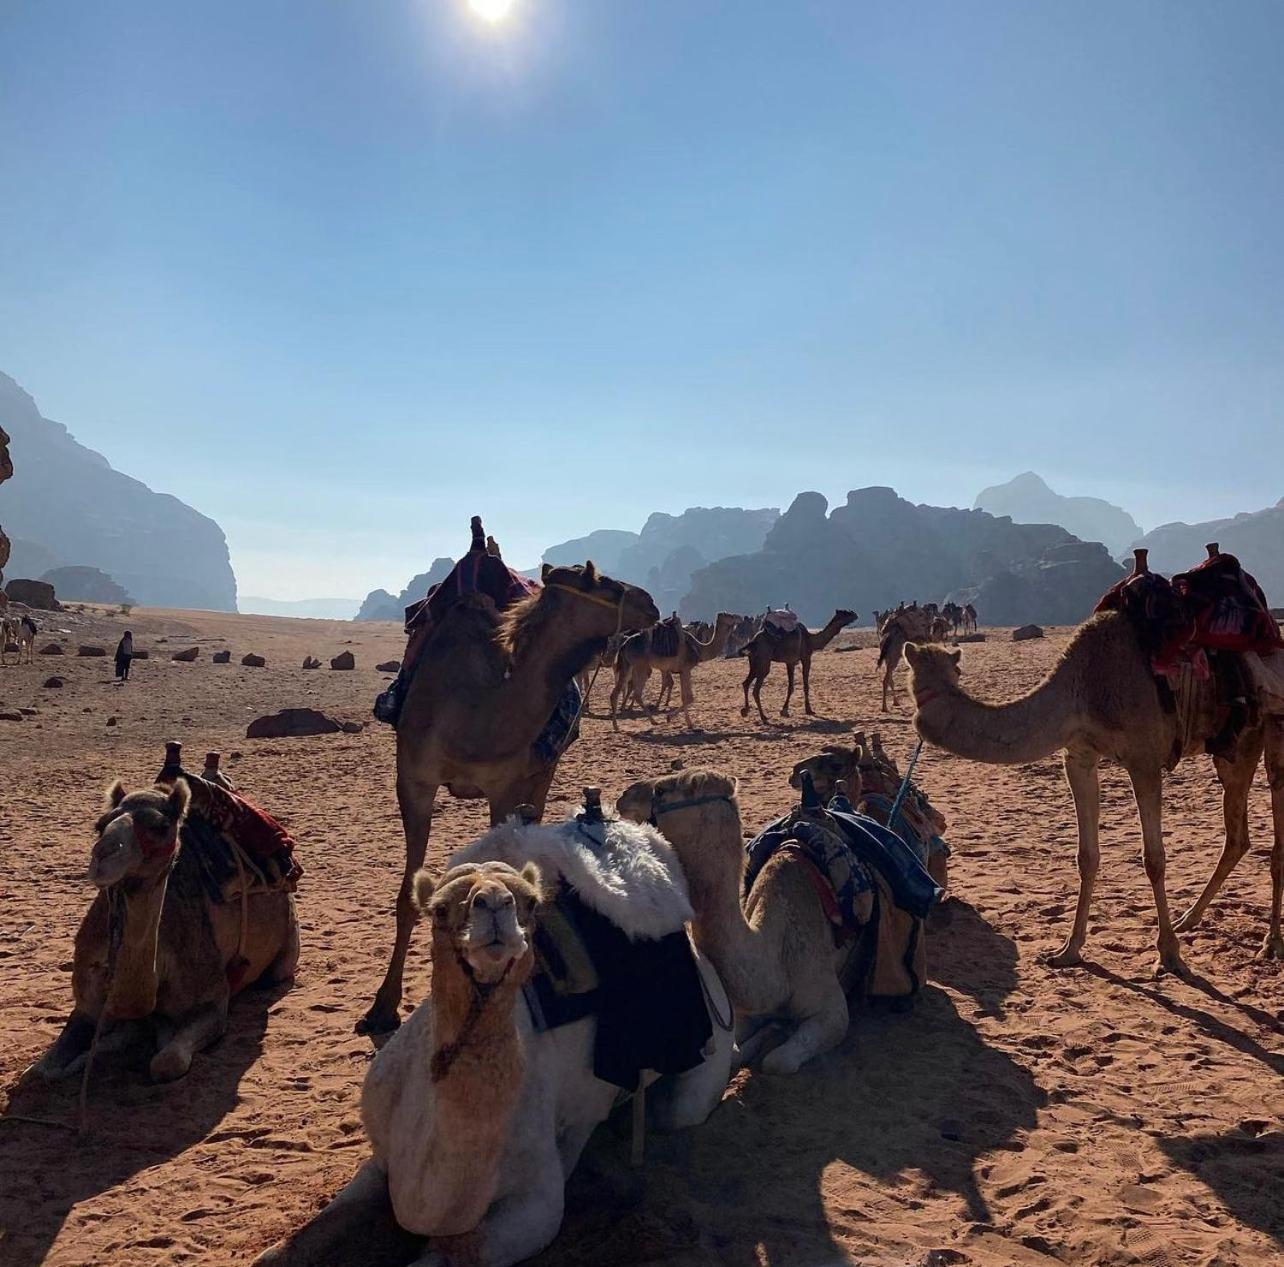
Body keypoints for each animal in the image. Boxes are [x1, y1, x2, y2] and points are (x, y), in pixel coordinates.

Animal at [35, 775, 297, 1083]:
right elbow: (42, 1070)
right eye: (100, 825)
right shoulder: (86, 1007)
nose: (102, 855)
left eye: (161, 827)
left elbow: (167, 1061)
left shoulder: (213, 1000)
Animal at [258, 821, 734, 1267]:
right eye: (439, 910)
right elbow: (286, 1248)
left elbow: (457, 1252)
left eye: (530, 903)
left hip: (705, 1061)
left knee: (671, 1111)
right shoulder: (381, 1159)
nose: (494, 905)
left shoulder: (534, 1205)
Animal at [362, 559, 662, 1037]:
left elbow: (502, 871)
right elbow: (408, 897)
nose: (649, 603)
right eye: (603, 583)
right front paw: (382, 1007)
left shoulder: (506, 786)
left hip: (542, 771)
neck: (475, 711)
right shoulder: (413, 780)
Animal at [903, 621, 1284, 970]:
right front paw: (1068, 950)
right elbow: (1086, 856)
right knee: (1237, 837)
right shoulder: (1079, 755)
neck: (1083, 690)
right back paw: (1188, 919)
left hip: (1273, 730)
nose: (920, 720)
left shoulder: (1144, 758)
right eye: (912, 675)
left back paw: (1270, 943)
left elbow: (1153, 859)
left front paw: (1168, 954)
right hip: (1235, 747)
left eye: (954, 671)